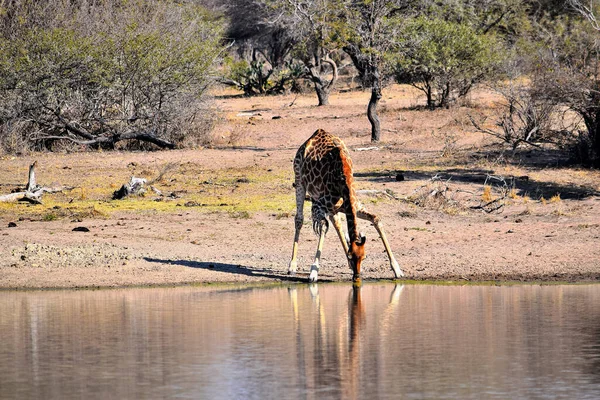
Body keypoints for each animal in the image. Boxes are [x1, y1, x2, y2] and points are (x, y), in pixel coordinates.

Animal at [288, 130, 404, 282]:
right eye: (351, 256)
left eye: (364, 257)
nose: (357, 277)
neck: (344, 177)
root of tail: (313, 135)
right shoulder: (319, 205)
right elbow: (323, 227)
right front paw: (313, 272)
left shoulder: (351, 205)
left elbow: (376, 219)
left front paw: (397, 269)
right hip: (299, 181)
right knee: (299, 219)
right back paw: (292, 266)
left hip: (333, 206)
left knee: (337, 223)